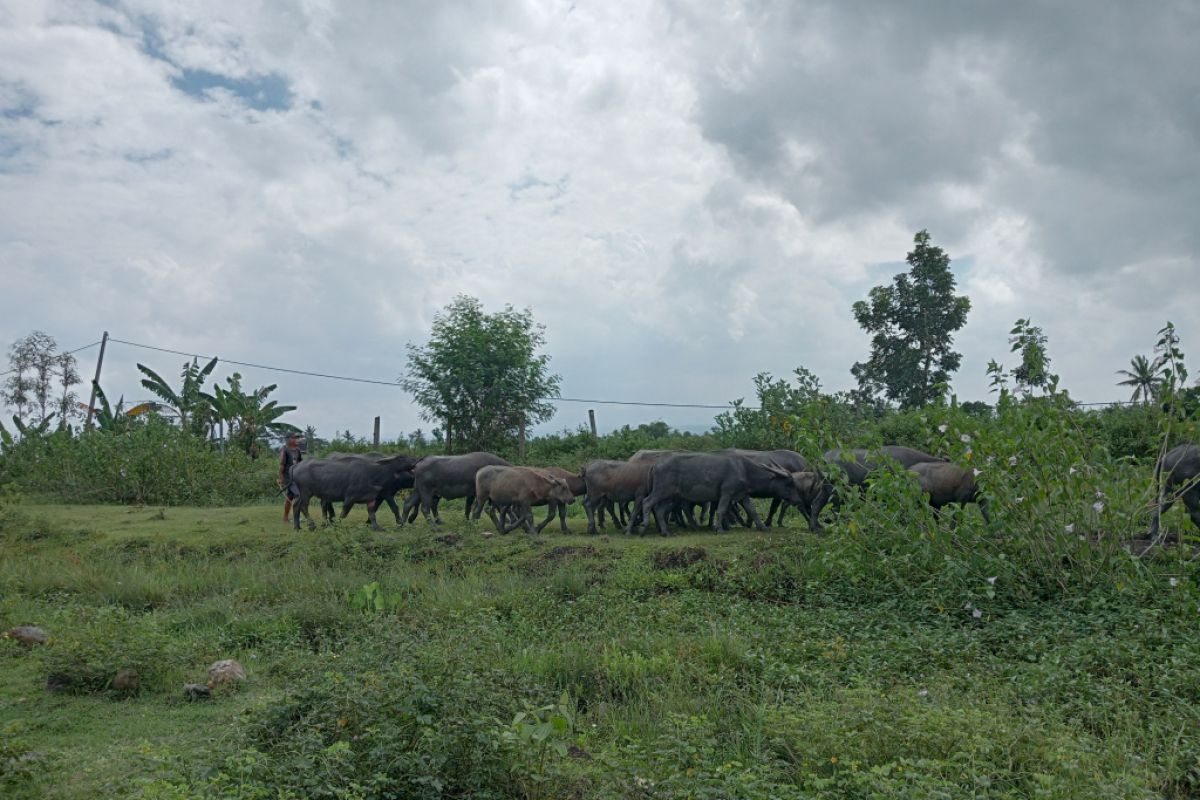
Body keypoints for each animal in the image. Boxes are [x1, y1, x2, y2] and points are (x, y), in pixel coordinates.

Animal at [290, 455, 422, 532]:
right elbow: (343, 514)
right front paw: (339, 525)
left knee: (296, 505)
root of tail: (296, 466)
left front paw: (376, 527)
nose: (418, 459)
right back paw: (312, 526)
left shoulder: (372, 498)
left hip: (301, 493)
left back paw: (297, 527)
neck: (374, 473)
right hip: (306, 492)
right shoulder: (350, 498)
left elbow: (372, 513)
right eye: (403, 458)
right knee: (304, 506)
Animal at [638, 453, 806, 534]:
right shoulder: (726, 493)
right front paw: (719, 529)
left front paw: (763, 527)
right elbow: (721, 510)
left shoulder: (743, 495)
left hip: (670, 495)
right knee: (647, 503)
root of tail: (655, 465)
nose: (799, 499)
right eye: (789, 483)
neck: (743, 469)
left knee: (660, 509)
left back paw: (665, 531)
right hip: (662, 491)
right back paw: (644, 527)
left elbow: (752, 511)